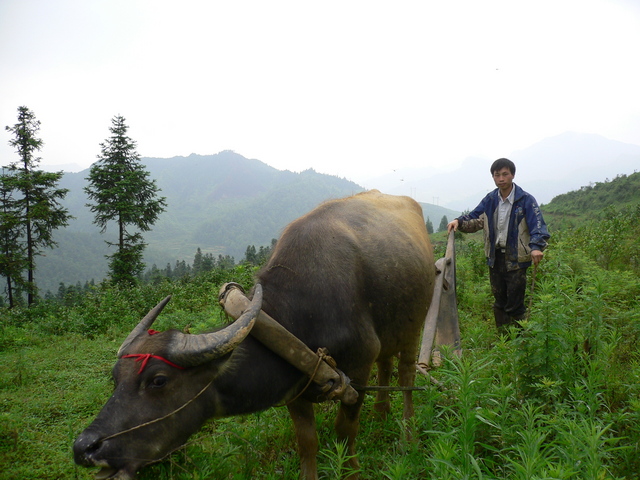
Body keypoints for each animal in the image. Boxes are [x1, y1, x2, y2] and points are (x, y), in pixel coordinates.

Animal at [74, 191, 436, 480]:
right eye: (115, 378)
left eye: (158, 380)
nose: (85, 447)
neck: (303, 311)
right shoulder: (298, 384)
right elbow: (307, 442)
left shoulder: (358, 370)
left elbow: (345, 433)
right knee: (386, 365)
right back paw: (382, 414)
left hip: (415, 325)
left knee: (405, 376)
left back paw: (407, 435)